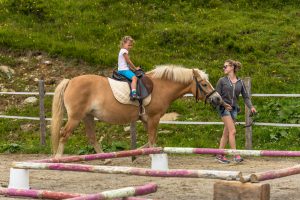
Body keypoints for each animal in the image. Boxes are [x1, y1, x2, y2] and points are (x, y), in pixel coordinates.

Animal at [51, 65, 223, 157]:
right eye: (204, 84)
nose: (217, 99)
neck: (160, 86)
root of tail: (70, 81)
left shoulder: (147, 120)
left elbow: (151, 140)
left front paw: (138, 153)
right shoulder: (153, 118)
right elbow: (152, 140)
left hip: (87, 116)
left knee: (92, 137)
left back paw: (106, 159)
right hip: (76, 117)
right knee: (64, 134)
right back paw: (59, 158)